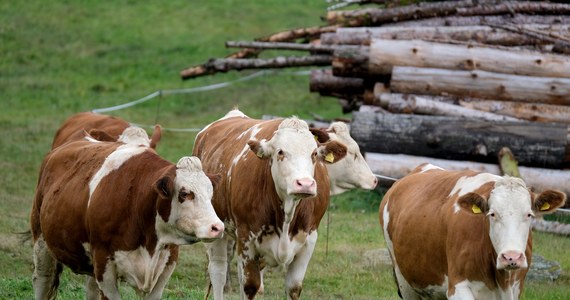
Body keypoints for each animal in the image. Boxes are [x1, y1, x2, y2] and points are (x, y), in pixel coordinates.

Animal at [30, 127, 223, 300]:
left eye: (211, 192)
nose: (217, 227)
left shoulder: (167, 264)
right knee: (42, 280)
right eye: (184, 193)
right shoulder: (104, 266)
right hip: (41, 241)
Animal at [192, 109, 346, 298]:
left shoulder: (309, 240)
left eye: (314, 154)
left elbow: (293, 287)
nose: (305, 184)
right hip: (215, 230)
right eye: (280, 152)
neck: (287, 214)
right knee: (218, 272)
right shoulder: (247, 239)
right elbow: (250, 285)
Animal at [378, 164, 564, 300]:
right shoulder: (458, 287)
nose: (511, 257)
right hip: (404, 279)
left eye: (529, 214)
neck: (500, 280)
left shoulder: (515, 288)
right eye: (492, 214)